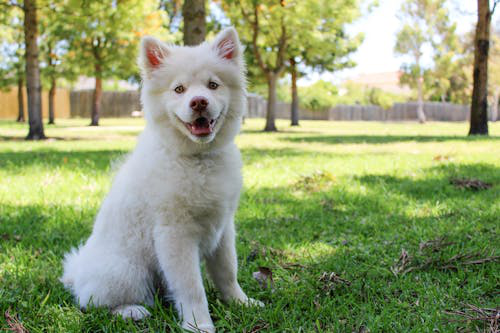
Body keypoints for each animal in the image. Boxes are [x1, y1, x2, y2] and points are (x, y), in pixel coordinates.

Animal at [60, 27, 260, 330]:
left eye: (213, 85)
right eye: (179, 89)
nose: (199, 102)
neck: (197, 159)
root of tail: (78, 272)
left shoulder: (223, 228)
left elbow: (227, 272)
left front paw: (240, 303)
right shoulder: (174, 234)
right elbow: (192, 287)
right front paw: (199, 325)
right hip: (127, 272)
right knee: (93, 302)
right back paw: (131, 311)